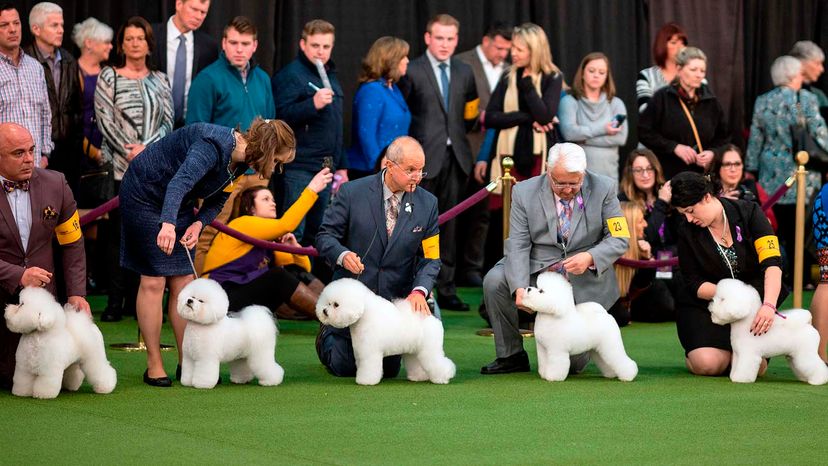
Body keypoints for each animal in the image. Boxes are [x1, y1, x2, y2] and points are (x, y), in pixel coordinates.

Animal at [318, 276, 460, 386]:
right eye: (327, 303)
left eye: (336, 304)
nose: (324, 311)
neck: (365, 315)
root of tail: (431, 317)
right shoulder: (360, 352)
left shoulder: (370, 352)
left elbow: (369, 367)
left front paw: (366, 381)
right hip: (414, 351)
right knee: (416, 363)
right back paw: (418, 377)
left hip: (429, 349)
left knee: (439, 363)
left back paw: (443, 377)